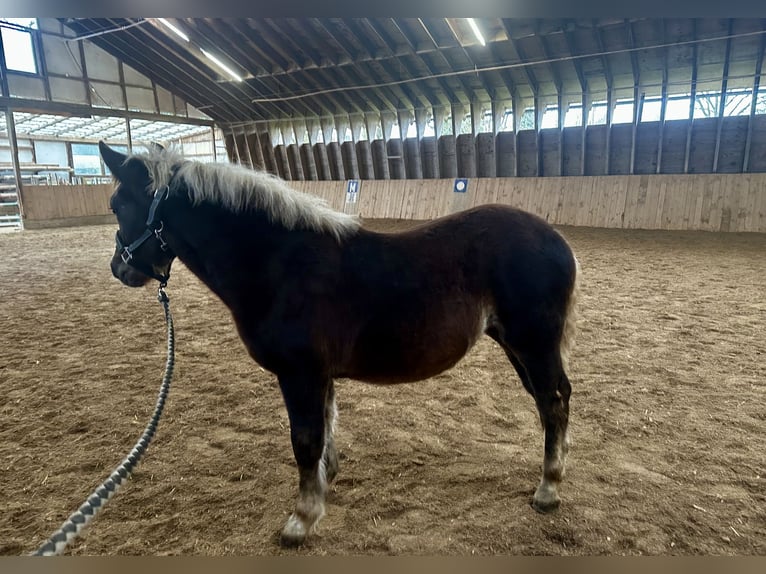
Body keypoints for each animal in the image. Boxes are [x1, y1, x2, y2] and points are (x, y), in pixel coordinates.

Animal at [100, 140, 584, 548]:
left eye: (117, 205)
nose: (119, 269)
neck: (278, 264)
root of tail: (557, 239)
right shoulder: (320, 375)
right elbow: (326, 429)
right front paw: (325, 483)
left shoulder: (300, 374)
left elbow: (305, 439)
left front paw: (301, 519)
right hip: (517, 345)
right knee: (552, 399)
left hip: (533, 343)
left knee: (553, 400)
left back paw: (548, 488)